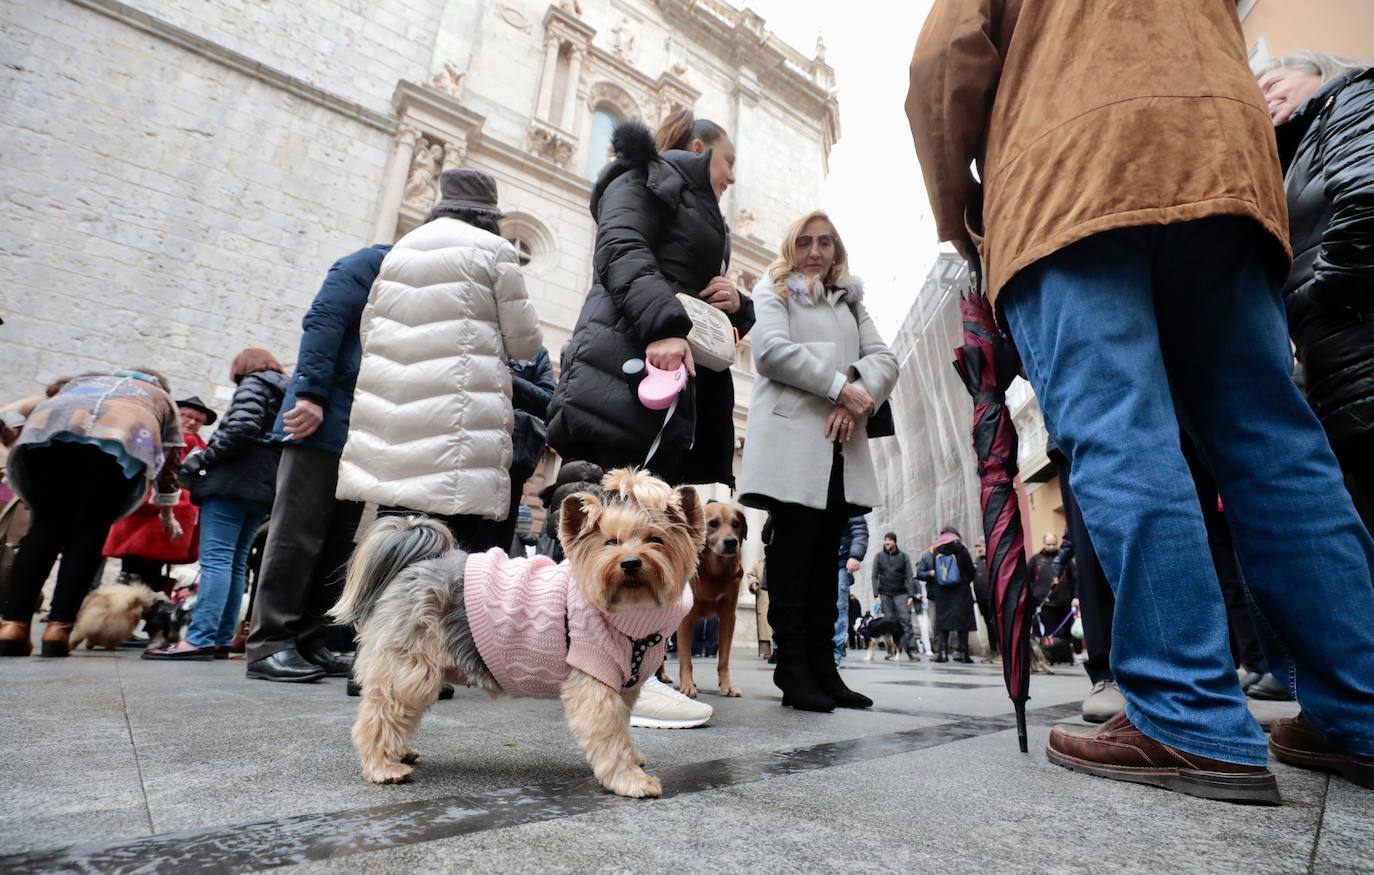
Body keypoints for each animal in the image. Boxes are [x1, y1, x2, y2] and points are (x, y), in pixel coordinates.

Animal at [329, 467, 697, 796]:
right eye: (610, 542)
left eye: (656, 540)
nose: (631, 563)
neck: (629, 615)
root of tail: (415, 565)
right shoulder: (595, 684)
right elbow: (610, 736)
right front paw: (629, 779)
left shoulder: (623, 688)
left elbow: (623, 729)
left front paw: (633, 760)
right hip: (410, 668)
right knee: (379, 714)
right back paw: (383, 766)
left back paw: (398, 753)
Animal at [673, 502, 747, 700]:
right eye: (713, 523)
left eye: (736, 524)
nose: (731, 542)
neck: (715, 574)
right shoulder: (685, 619)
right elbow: (685, 658)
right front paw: (687, 685)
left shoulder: (728, 617)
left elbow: (724, 659)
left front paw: (727, 685)